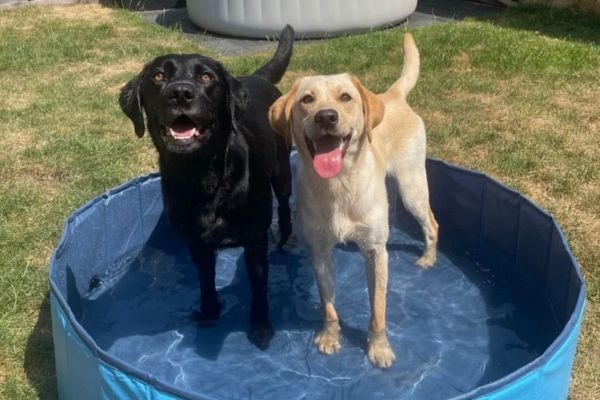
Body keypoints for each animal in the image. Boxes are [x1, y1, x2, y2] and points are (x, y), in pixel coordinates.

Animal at [118, 25, 294, 350]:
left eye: (206, 77)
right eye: (158, 76)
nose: (180, 92)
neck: (202, 175)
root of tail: (258, 77)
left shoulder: (255, 242)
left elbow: (259, 290)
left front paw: (260, 328)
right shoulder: (197, 243)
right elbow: (205, 281)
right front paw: (210, 312)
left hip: (282, 172)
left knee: (286, 205)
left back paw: (287, 238)